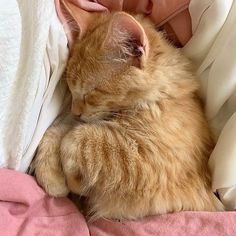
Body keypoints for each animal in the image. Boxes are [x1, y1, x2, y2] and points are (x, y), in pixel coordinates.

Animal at [33, 12, 223, 219]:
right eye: (70, 89)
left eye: (90, 93)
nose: (76, 110)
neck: (160, 96)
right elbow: (56, 131)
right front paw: (53, 177)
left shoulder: (146, 157)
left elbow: (76, 139)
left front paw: (74, 180)